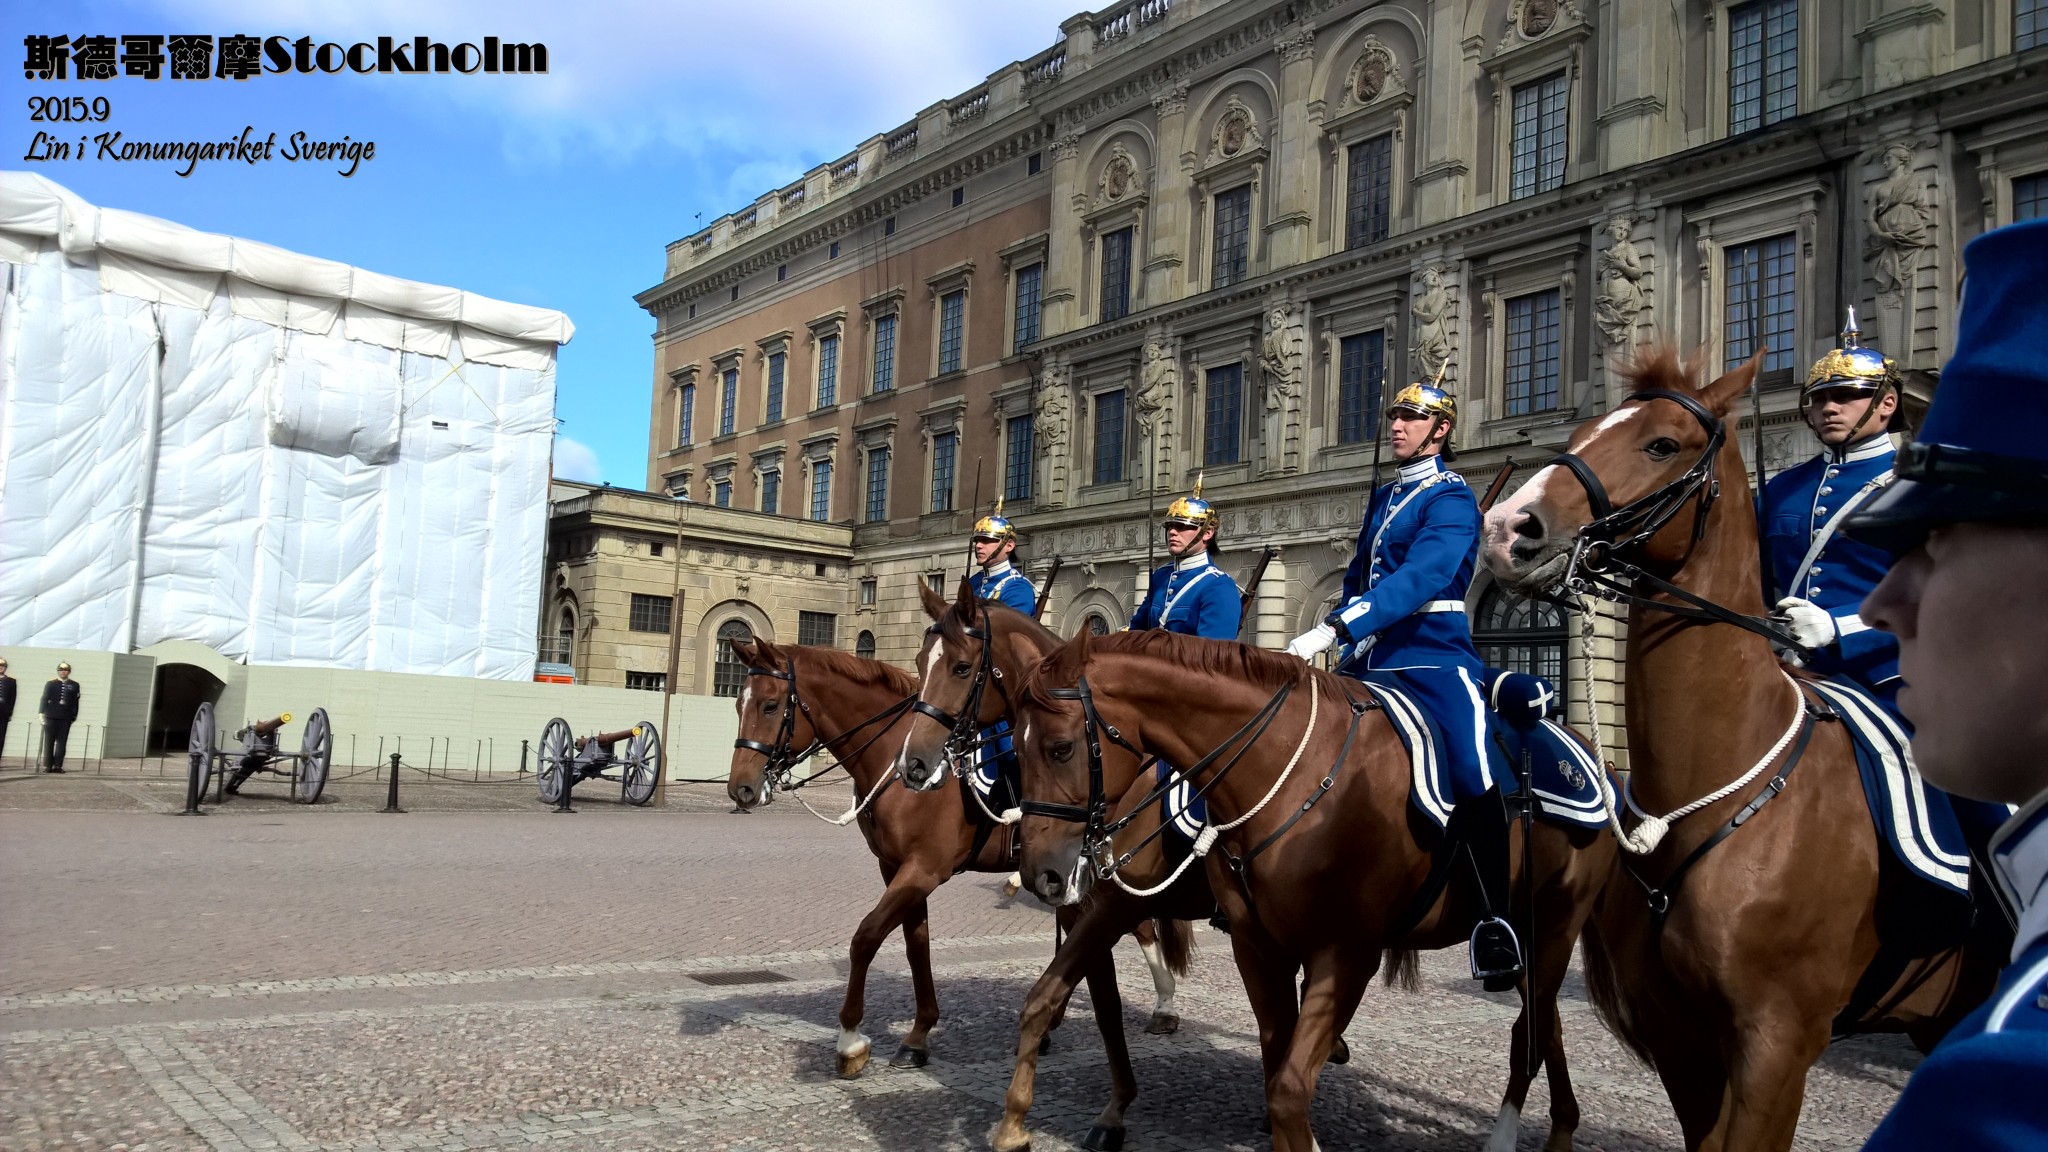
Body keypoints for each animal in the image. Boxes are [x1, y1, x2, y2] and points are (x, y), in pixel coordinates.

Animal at [729, 639, 1187, 1082]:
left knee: (1136, 924)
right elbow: (917, 946)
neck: (898, 760)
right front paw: (917, 1037)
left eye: (769, 705)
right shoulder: (898, 870)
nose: (740, 789)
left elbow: (866, 938)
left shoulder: (923, 870)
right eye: (737, 703)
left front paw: (851, 1042)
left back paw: (1161, 1006)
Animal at [1003, 627, 1613, 1147]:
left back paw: (1510, 1136)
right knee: (1547, 1026)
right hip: (1535, 936)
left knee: (1531, 1030)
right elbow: (1055, 997)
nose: (1039, 873)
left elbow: (1289, 1087)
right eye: (1016, 744)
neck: (1293, 774)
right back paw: (1561, 1128)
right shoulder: (1248, 943)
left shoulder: (1346, 954)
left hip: (1554, 927)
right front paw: (1024, 1121)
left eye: (1061, 748)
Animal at [1490, 344, 1998, 1139]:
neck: (1713, 789)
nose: (1508, 527)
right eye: (1578, 436)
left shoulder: (1778, 1043)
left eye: (1662, 444)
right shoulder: (1684, 1040)